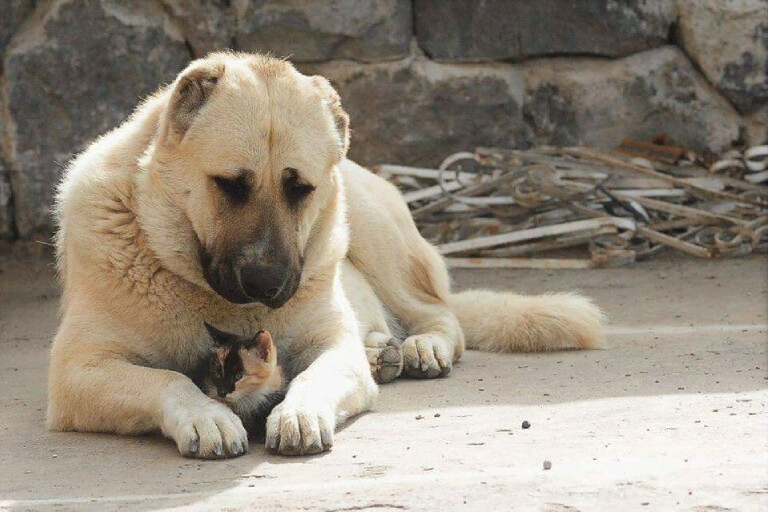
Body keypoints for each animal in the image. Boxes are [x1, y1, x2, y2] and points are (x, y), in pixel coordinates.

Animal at [49, 53, 608, 460]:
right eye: (229, 185)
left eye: (300, 189)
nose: (267, 284)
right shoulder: (77, 373)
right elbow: (169, 379)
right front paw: (205, 415)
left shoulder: (332, 346)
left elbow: (314, 375)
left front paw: (300, 414)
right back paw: (383, 352)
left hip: (374, 230)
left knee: (441, 314)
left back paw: (421, 347)